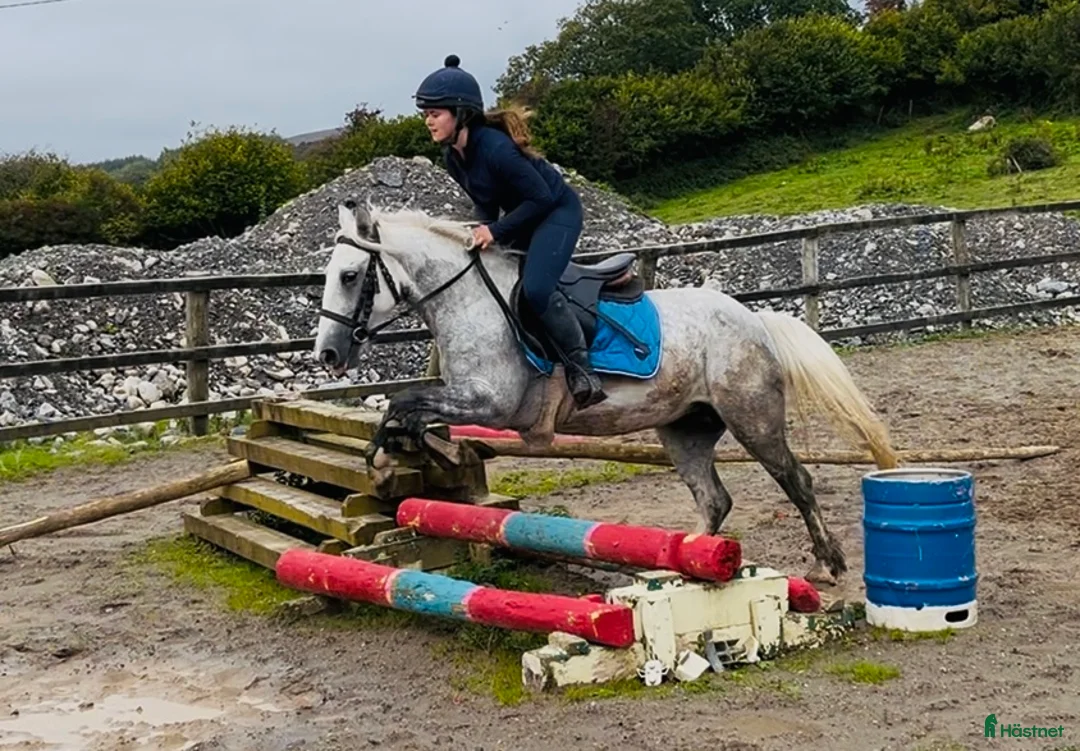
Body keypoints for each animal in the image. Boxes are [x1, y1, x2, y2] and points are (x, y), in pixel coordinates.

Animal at [314, 200, 899, 586]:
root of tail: (753, 318)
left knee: (796, 480)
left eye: (350, 276)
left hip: (752, 417)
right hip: (684, 429)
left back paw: (827, 563)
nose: (328, 356)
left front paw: (385, 460)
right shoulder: (467, 398)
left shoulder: (491, 401)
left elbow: (405, 401)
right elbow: (406, 410)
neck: (467, 299)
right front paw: (394, 458)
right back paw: (681, 566)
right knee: (714, 499)